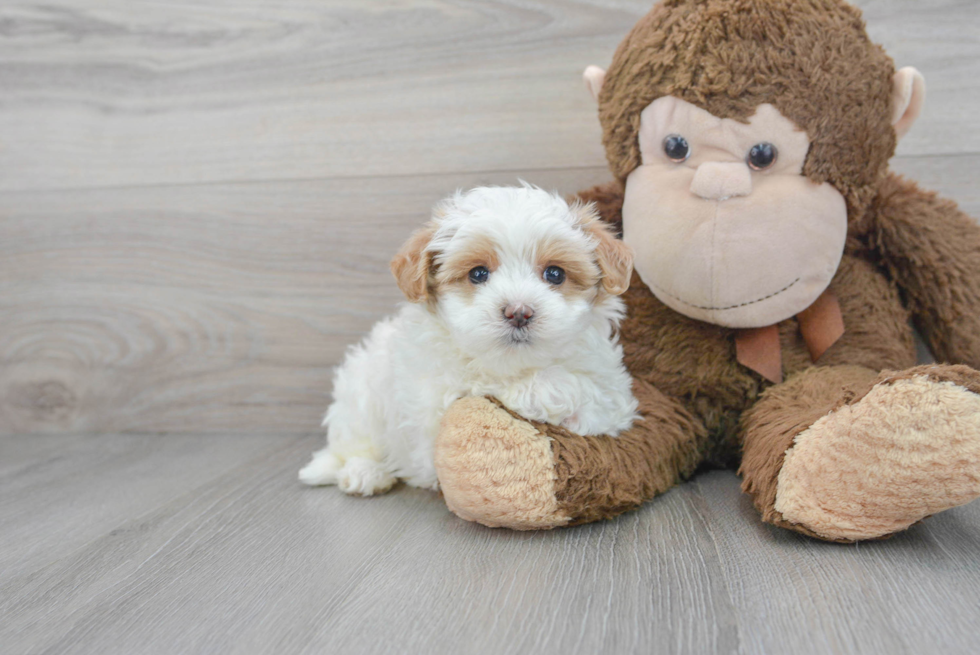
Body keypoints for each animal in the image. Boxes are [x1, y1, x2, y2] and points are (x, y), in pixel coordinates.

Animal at [296, 183, 636, 492]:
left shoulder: (615, 396)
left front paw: (566, 403)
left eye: (555, 274)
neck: (519, 365)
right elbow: (477, 384)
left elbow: (600, 401)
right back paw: (365, 473)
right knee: (353, 445)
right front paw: (547, 388)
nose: (519, 312)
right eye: (478, 274)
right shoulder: (432, 411)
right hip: (359, 397)